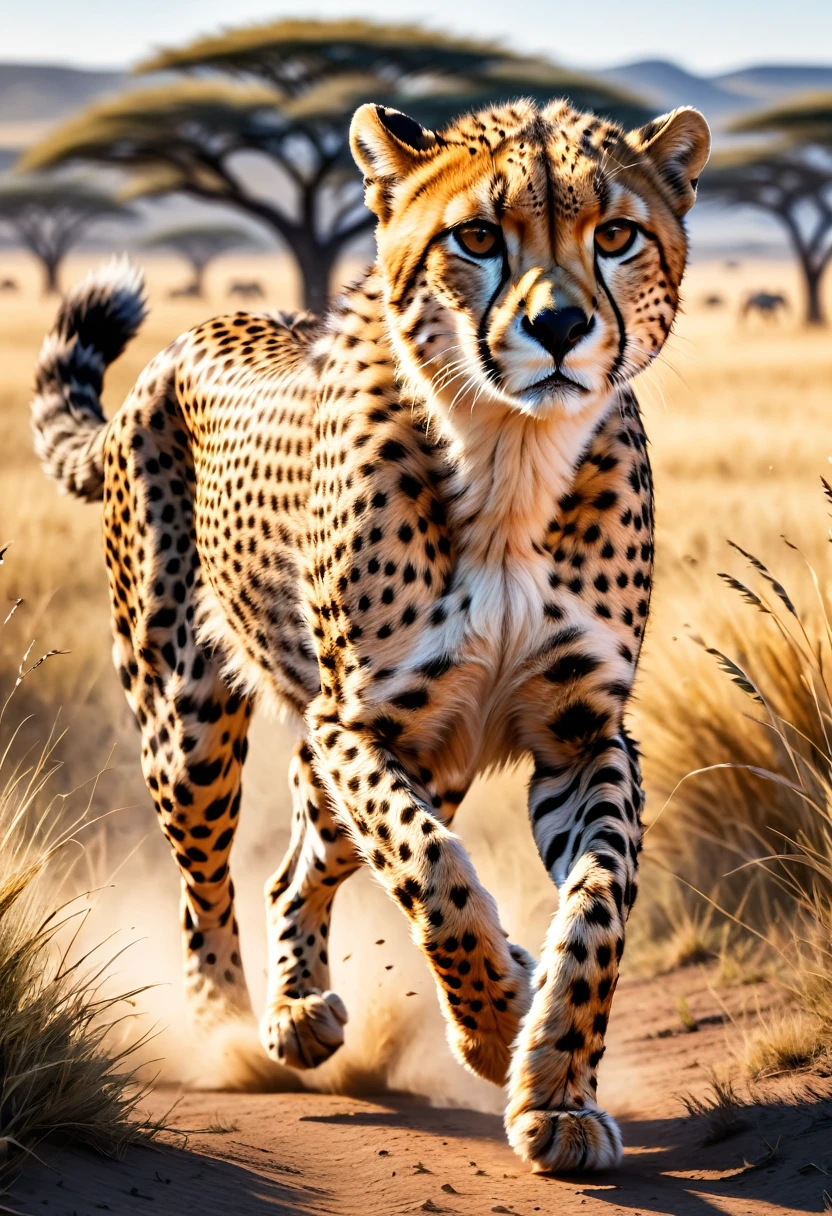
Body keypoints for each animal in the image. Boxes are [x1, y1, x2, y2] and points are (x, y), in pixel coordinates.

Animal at [30, 97, 710, 1177]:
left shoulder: (581, 733)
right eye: (476, 236)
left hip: (410, 757)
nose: (559, 326)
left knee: (296, 867)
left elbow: (598, 906)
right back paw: (233, 1033)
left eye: (615, 235)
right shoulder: (365, 724)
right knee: (208, 882)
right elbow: (435, 874)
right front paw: (495, 1027)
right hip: (189, 721)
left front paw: (556, 1085)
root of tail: (183, 344)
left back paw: (307, 1006)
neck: (511, 454)